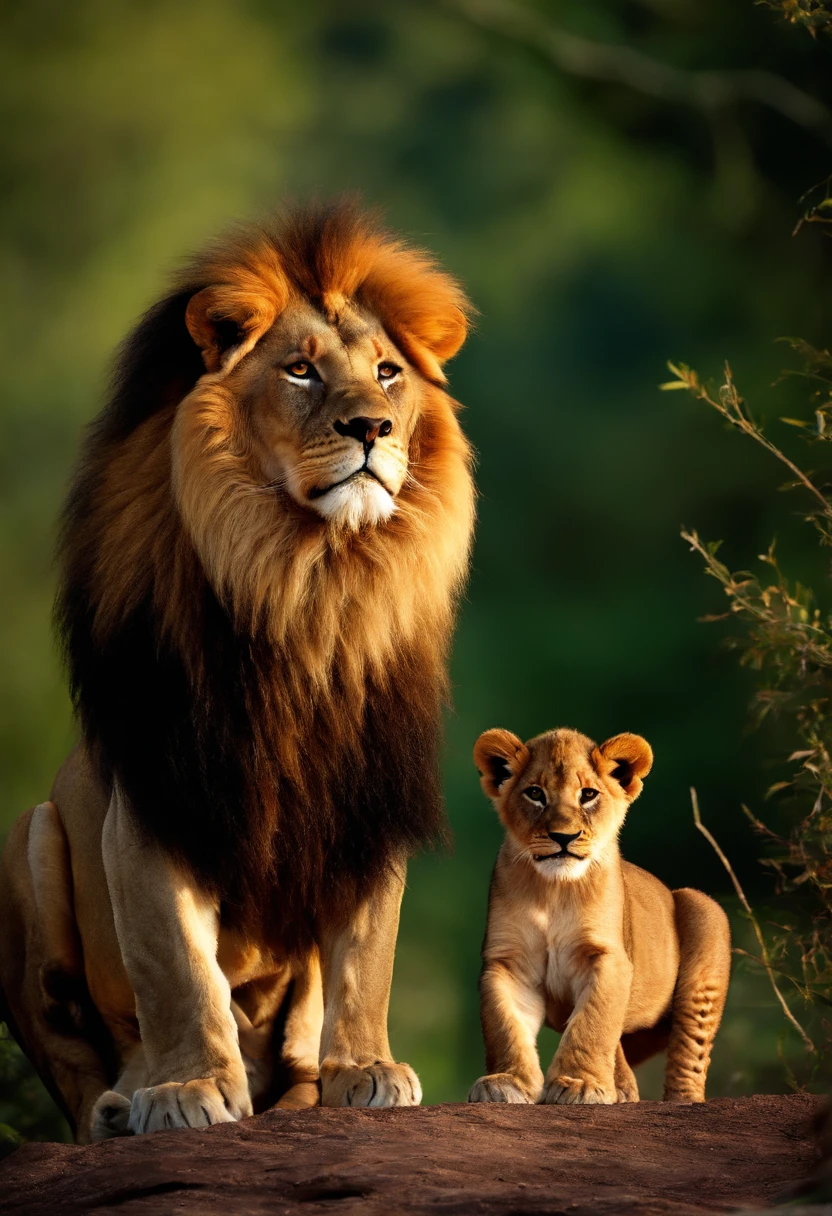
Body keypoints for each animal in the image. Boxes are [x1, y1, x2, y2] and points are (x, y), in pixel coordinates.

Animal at [1, 204, 474, 1143]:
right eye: (300, 370)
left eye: (388, 373)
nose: (373, 429)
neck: (307, 585)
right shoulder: (158, 796)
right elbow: (178, 967)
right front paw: (189, 1087)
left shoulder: (367, 798)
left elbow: (366, 957)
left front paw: (365, 1069)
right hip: (26, 838)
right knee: (77, 1072)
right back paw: (123, 1104)